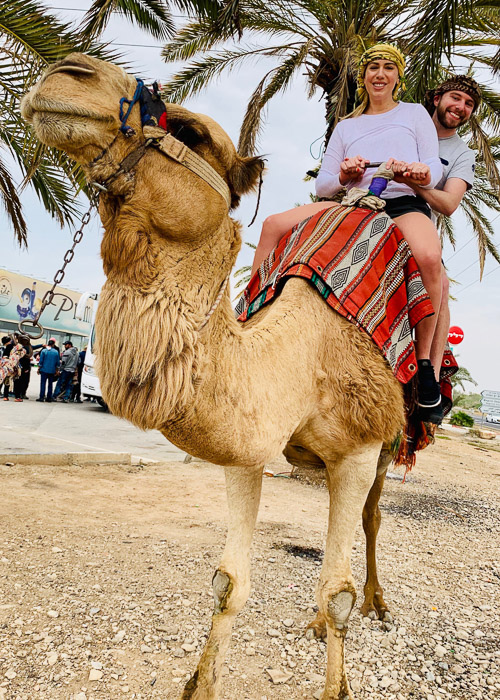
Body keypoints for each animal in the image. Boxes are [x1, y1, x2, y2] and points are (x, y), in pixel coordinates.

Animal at [21, 52, 408, 696]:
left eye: (191, 131)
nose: (65, 73)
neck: (303, 358)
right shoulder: (247, 451)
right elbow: (229, 584)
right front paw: (198, 682)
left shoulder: (358, 447)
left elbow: (337, 595)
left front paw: (340, 675)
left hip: (391, 440)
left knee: (371, 520)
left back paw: (378, 602)